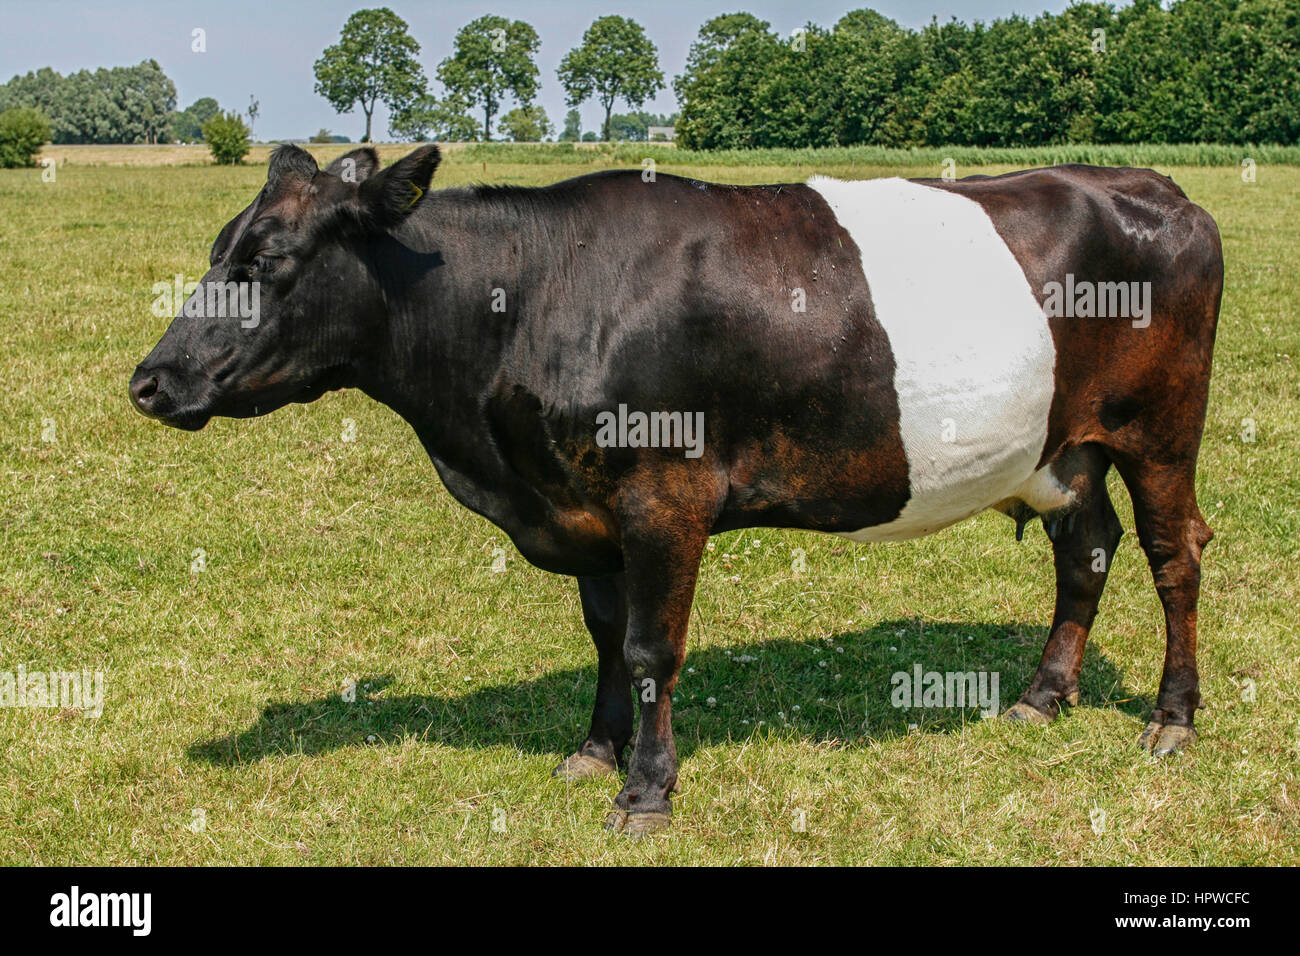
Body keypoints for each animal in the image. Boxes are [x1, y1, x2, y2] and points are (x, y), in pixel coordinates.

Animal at [131, 145, 1216, 832]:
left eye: (266, 259)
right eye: (218, 249)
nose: (151, 379)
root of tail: (1151, 185)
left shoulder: (664, 494)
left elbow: (655, 645)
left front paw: (645, 792)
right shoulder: (584, 505)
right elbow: (609, 634)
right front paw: (595, 750)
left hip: (1160, 428)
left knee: (1174, 555)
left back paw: (1171, 720)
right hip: (1061, 448)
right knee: (1087, 551)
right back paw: (1040, 697)